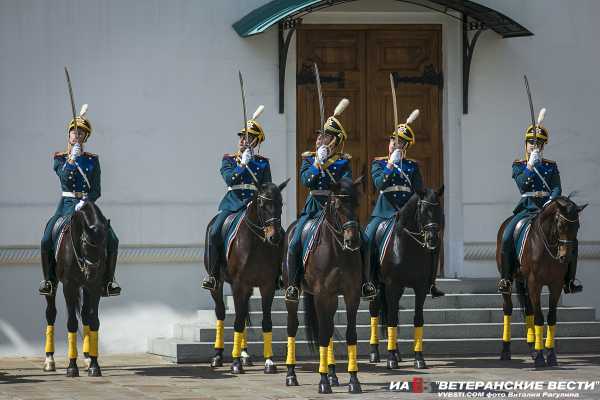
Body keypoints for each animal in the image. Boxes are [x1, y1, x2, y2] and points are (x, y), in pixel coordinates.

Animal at [42, 202, 110, 376]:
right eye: (85, 242)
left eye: (106, 243)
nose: (91, 273)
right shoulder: (69, 286)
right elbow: (71, 322)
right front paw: (72, 367)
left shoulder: (94, 287)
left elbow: (94, 321)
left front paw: (94, 365)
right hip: (53, 283)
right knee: (50, 313)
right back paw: (49, 360)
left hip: (86, 287)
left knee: (85, 315)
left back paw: (86, 358)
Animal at [207, 180, 290, 374]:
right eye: (262, 204)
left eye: (281, 204)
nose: (275, 237)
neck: (257, 243)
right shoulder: (240, 284)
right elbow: (237, 322)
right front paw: (235, 363)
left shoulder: (267, 286)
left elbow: (266, 322)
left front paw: (269, 361)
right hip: (218, 284)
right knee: (221, 313)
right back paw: (218, 356)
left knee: (243, 313)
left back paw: (244, 354)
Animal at [282, 177, 364, 394]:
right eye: (338, 205)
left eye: (357, 204)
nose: (353, 240)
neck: (338, 249)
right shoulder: (321, 295)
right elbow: (322, 334)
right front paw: (323, 381)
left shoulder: (351, 294)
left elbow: (350, 334)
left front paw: (353, 380)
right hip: (294, 295)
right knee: (293, 326)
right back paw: (291, 374)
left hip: (333, 298)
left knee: (330, 327)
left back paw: (334, 374)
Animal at [366, 186, 446, 370]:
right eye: (424, 210)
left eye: (439, 209)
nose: (432, 239)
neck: (408, 246)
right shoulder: (392, 285)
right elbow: (391, 320)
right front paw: (390, 359)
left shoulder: (420, 287)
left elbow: (417, 319)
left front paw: (419, 358)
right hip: (377, 286)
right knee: (375, 311)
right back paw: (375, 353)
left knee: (392, 312)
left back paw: (396, 352)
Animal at [496, 195, 584, 368]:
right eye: (560, 225)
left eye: (577, 226)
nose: (566, 257)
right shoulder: (535, 283)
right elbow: (539, 318)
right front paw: (540, 358)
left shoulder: (555, 285)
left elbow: (551, 317)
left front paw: (550, 354)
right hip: (511, 281)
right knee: (508, 309)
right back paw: (506, 350)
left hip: (525, 282)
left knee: (528, 309)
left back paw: (532, 348)